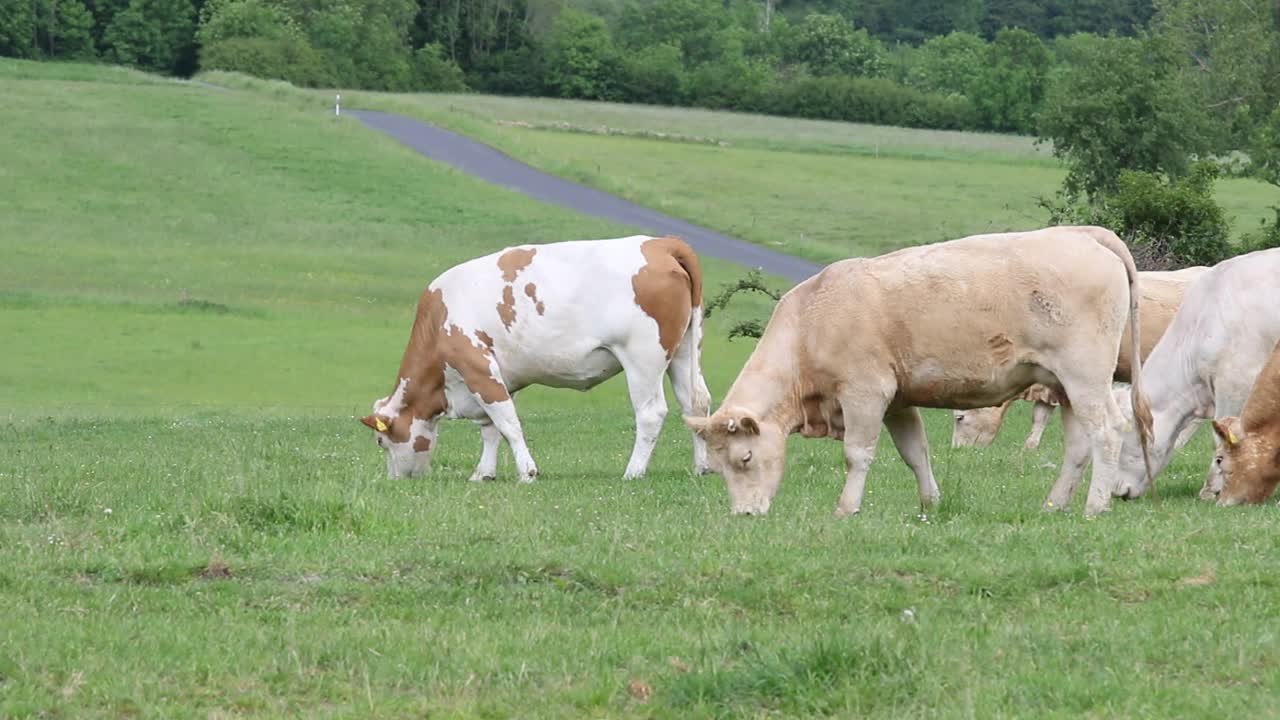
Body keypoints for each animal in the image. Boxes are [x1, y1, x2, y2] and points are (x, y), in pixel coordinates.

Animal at [360, 235, 711, 481]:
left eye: (381, 442)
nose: (397, 479)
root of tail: (663, 243)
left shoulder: (478, 368)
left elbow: (508, 423)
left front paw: (527, 472)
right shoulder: (499, 377)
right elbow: (491, 428)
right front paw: (483, 473)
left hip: (643, 357)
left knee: (651, 413)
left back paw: (633, 472)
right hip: (684, 351)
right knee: (695, 404)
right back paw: (701, 466)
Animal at [686, 224, 1157, 515]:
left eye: (745, 458)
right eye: (717, 468)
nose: (745, 514)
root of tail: (1082, 233)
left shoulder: (865, 392)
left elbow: (857, 454)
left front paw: (846, 508)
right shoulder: (897, 399)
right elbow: (916, 452)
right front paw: (931, 503)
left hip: (1086, 378)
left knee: (1108, 432)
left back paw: (1095, 506)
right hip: (1064, 385)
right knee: (1078, 445)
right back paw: (1054, 505)